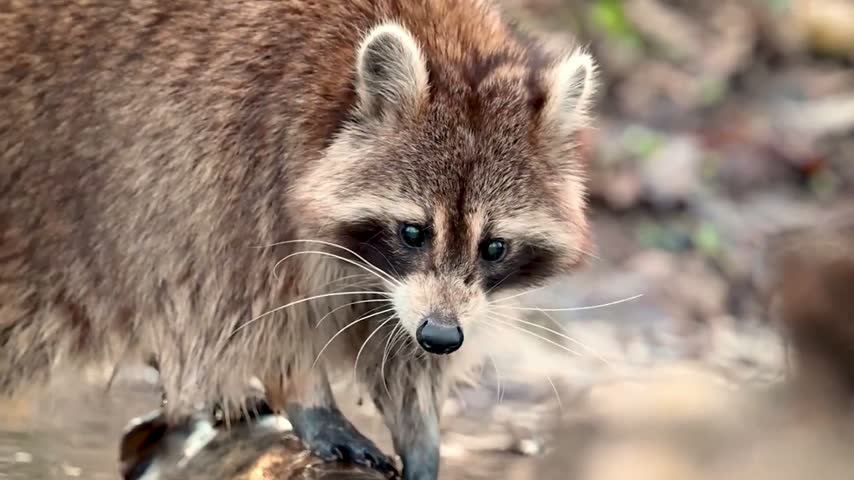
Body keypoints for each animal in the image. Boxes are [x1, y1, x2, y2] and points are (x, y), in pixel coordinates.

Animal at [0, 0, 597, 478]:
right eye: (413, 232)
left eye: (493, 246)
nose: (442, 337)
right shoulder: (227, 171)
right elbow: (249, 312)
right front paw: (305, 396)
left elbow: (398, 347)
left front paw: (420, 428)